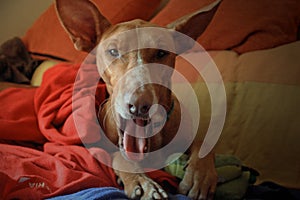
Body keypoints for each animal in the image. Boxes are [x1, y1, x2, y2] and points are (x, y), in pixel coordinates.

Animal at [56, 0, 220, 199]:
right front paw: (142, 182)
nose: (139, 105)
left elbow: (203, 143)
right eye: (113, 51)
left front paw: (200, 177)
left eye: (161, 53)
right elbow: (120, 158)